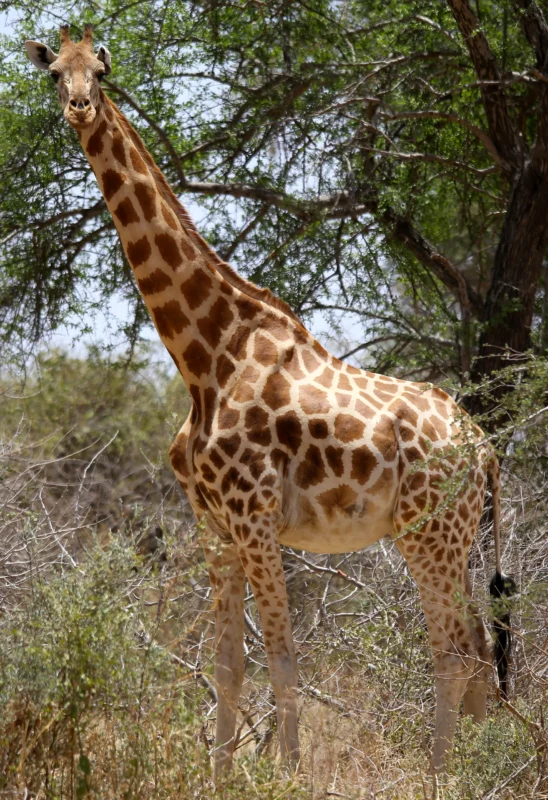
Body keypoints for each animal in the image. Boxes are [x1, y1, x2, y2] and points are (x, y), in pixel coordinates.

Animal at [26, 25, 513, 780]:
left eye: (100, 73)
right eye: (55, 73)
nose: (79, 107)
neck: (203, 356)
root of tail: (485, 449)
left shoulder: (255, 517)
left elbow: (282, 662)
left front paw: (286, 773)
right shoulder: (214, 524)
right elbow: (228, 666)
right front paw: (220, 777)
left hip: (427, 533)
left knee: (455, 654)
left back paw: (440, 779)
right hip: (453, 537)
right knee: (481, 657)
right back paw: (476, 774)